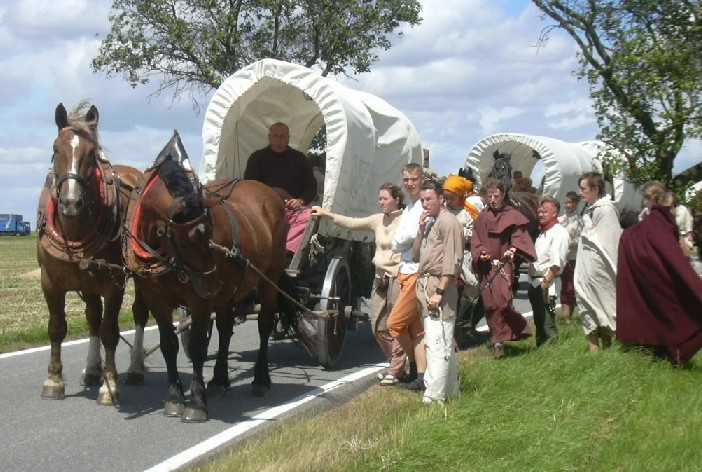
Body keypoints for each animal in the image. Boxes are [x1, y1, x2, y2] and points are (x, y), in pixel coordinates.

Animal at [37, 102, 146, 405]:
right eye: (55, 149)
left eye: (91, 153)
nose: (70, 202)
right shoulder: (50, 282)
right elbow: (57, 327)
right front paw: (53, 380)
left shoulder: (113, 284)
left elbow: (111, 331)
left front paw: (110, 386)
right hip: (87, 282)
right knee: (93, 318)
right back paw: (92, 369)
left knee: (139, 314)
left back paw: (134, 368)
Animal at [123, 132, 304, 422]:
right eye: (184, 242)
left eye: (210, 233)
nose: (212, 284)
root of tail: (268, 192)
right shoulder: (157, 299)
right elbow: (168, 345)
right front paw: (175, 398)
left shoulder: (199, 302)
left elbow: (198, 347)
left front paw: (196, 402)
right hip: (230, 290)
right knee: (225, 328)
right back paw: (220, 380)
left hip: (268, 280)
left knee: (264, 326)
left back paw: (260, 379)